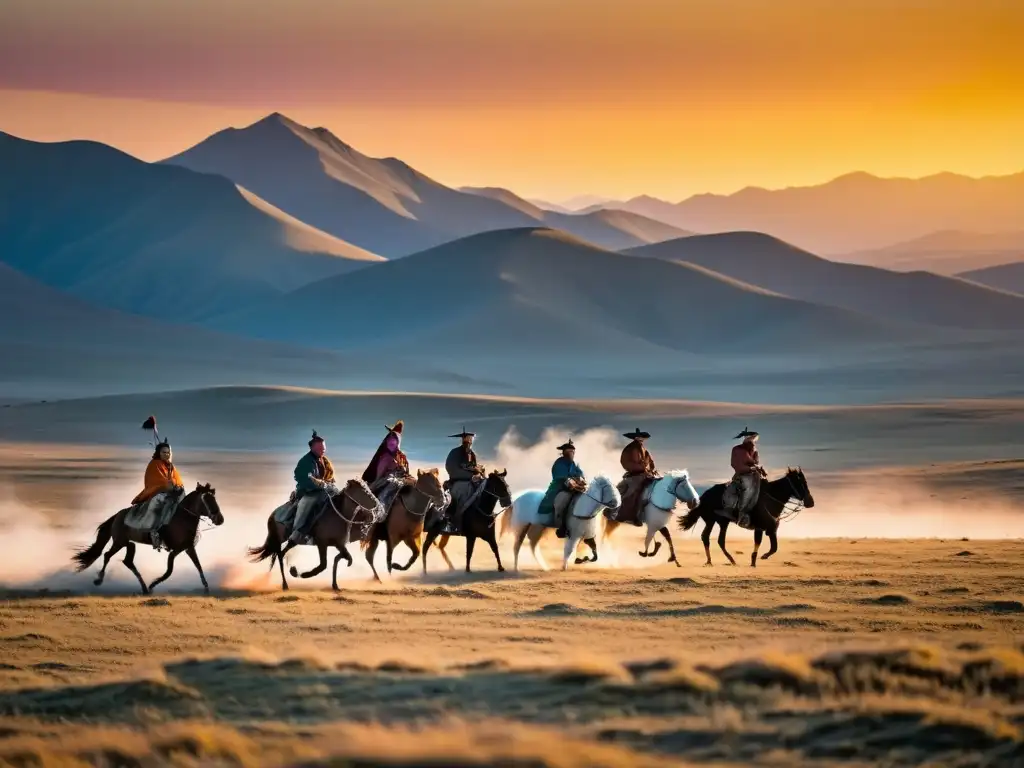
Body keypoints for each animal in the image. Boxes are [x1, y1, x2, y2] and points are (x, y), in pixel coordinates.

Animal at [74, 483, 228, 598]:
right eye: (206, 500)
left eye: (214, 498)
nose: (220, 519)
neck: (181, 519)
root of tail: (117, 515)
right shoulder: (175, 550)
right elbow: (169, 571)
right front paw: (153, 584)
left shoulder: (188, 548)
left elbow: (198, 566)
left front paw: (206, 589)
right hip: (119, 542)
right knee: (107, 555)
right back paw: (99, 580)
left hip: (129, 544)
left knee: (128, 561)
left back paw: (144, 589)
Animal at [248, 479, 385, 593]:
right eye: (364, 492)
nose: (380, 507)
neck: (338, 515)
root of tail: (273, 514)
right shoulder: (322, 543)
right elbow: (323, 565)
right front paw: (300, 574)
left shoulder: (339, 544)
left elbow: (344, 557)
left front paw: (335, 585)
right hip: (279, 539)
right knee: (279, 556)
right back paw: (285, 584)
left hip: (292, 541)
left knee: (281, 554)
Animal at [679, 466, 815, 569]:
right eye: (801, 483)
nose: (811, 502)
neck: (770, 497)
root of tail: (703, 497)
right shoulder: (760, 527)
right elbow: (761, 543)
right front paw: (755, 561)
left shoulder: (771, 528)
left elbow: (774, 547)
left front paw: (761, 557)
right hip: (717, 521)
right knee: (713, 539)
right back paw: (725, 560)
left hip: (716, 522)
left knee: (710, 538)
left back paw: (716, 561)